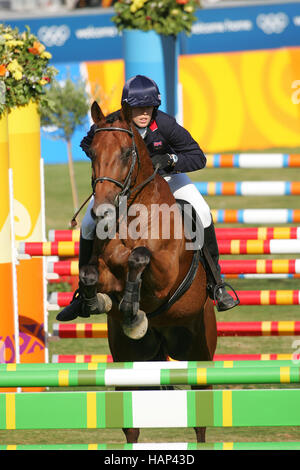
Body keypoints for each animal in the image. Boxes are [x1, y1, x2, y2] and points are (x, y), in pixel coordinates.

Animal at [79, 101, 216, 442]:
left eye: (127, 152)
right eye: (92, 152)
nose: (101, 210)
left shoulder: (165, 277)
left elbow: (139, 258)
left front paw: (132, 305)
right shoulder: (102, 270)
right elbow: (91, 275)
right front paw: (97, 303)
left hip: (200, 352)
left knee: (201, 418)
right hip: (130, 359)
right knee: (132, 425)